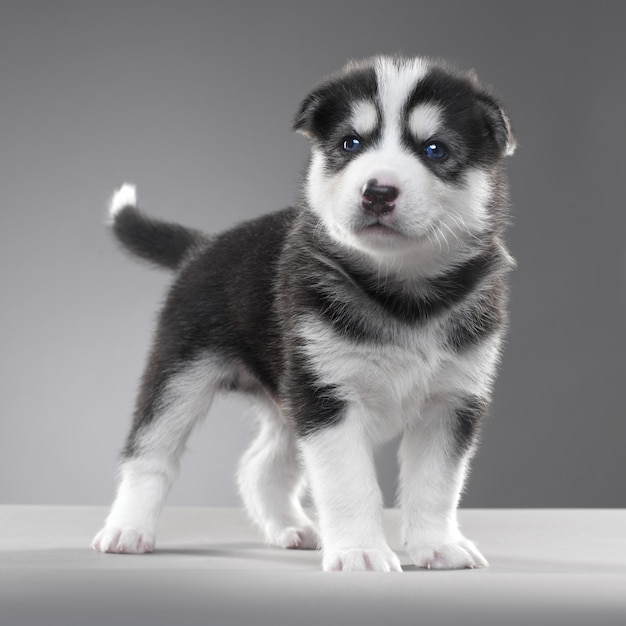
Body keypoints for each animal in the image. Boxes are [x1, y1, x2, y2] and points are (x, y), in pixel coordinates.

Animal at [90, 56, 516, 568]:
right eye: (350, 144)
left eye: (435, 150)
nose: (378, 192)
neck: (403, 295)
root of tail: (205, 245)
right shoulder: (327, 399)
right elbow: (350, 484)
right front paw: (361, 552)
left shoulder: (451, 401)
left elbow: (436, 484)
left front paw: (438, 545)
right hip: (180, 376)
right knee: (151, 455)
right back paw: (128, 529)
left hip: (285, 400)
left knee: (259, 467)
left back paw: (292, 528)